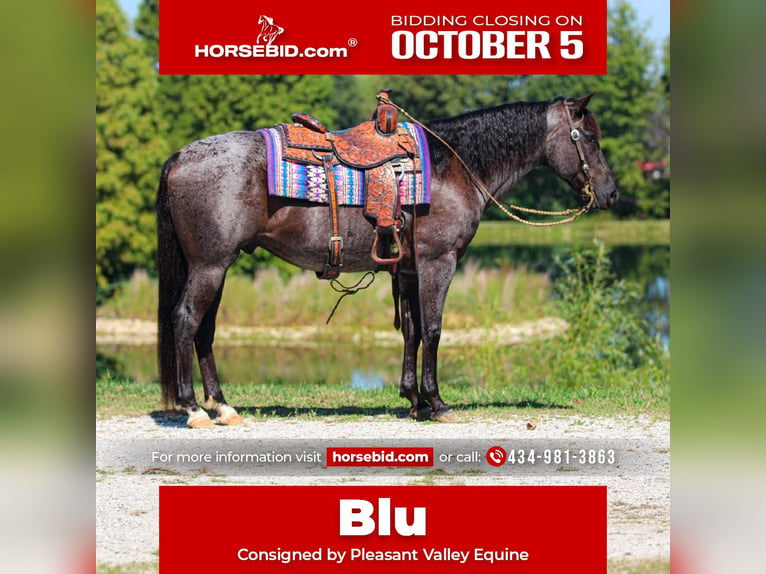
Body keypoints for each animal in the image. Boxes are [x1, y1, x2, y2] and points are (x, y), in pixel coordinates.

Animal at [156, 94, 618, 428]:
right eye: (589, 138)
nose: (611, 194)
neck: (455, 168)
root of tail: (181, 156)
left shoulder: (409, 270)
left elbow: (411, 332)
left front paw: (413, 400)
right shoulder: (437, 263)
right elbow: (433, 330)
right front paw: (437, 402)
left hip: (216, 266)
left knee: (204, 330)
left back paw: (222, 406)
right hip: (210, 266)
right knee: (185, 321)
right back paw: (194, 409)